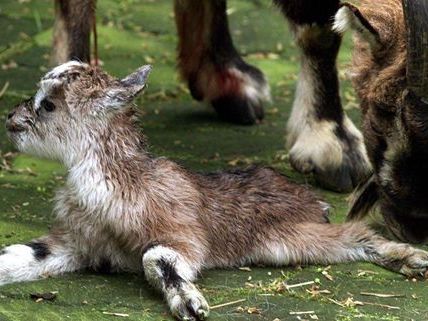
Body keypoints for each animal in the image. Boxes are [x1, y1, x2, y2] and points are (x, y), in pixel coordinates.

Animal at [3, 61, 428, 318]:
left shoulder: (184, 237)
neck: (118, 184)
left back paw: (411, 259)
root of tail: (314, 201)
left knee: (353, 232)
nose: (10, 119)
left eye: (49, 105)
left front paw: (190, 304)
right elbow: (21, 254)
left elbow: (155, 257)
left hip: (287, 240)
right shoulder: (75, 242)